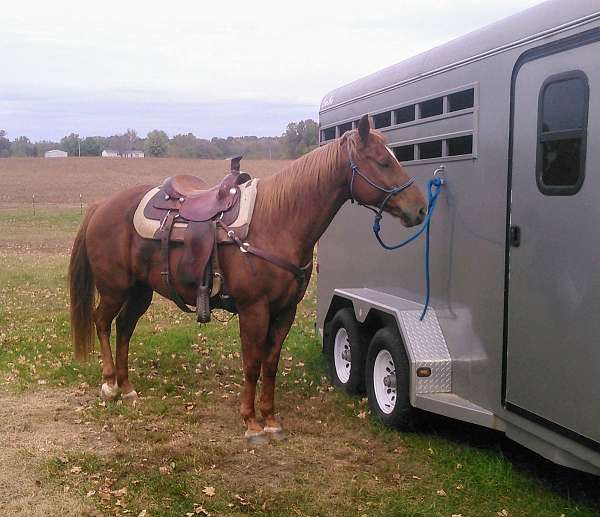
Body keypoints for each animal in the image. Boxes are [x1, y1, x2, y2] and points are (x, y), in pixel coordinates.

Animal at [69, 115, 426, 442]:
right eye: (383, 161)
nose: (420, 208)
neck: (277, 222)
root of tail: (102, 206)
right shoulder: (254, 309)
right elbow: (252, 363)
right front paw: (251, 422)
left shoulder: (285, 312)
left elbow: (270, 364)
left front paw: (271, 419)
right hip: (114, 288)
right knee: (103, 322)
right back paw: (109, 384)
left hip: (140, 291)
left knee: (125, 327)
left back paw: (127, 386)